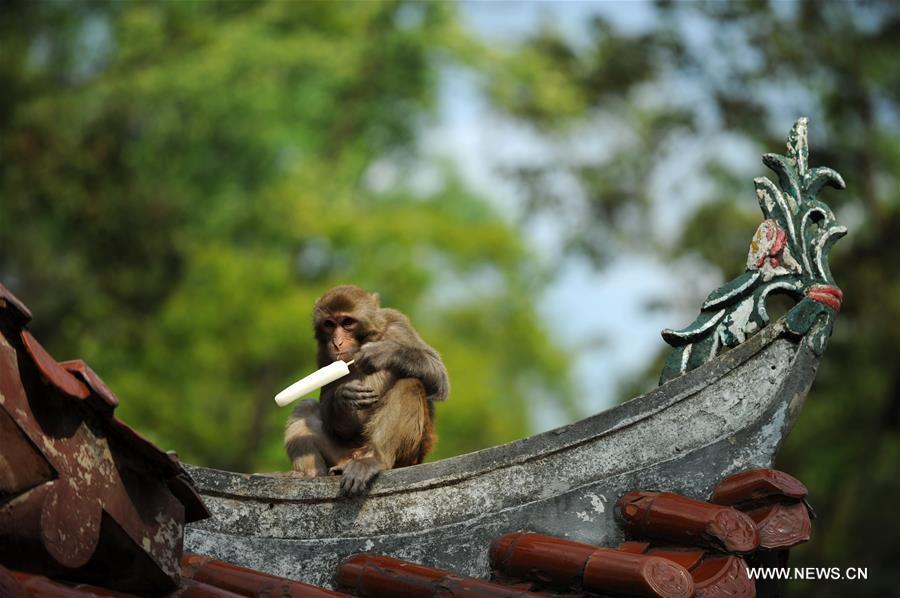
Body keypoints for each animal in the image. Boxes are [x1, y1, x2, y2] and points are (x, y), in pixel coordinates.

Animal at [284, 285, 449, 497]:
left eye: (347, 322)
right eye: (329, 324)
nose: (336, 342)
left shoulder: (398, 325)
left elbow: (439, 377)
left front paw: (383, 352)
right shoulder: (323, 353)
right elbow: (329, 407)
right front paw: (343, 397)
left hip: (408, 456)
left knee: (410, 384)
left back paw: (374, 459)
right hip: (341, 454)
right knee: (305, 407)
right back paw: (311, 474)